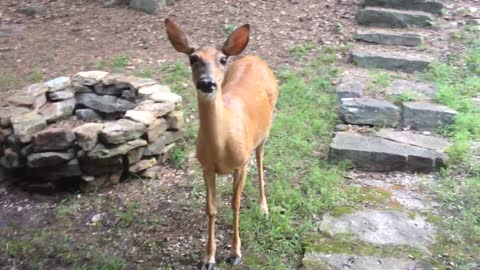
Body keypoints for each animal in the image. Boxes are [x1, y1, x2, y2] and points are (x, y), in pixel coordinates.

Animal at [164, 17, 278, 268]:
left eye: (222, 59)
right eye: (192, 58)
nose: (207, 83)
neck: (221, 146)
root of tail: (254, 58)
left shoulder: (241, 164)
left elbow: (235, 204)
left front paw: (235, 253)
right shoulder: (205, 167)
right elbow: (211, 209)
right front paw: (209, 258)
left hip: (264, 132)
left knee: (261, 160)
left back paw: (263, 208)